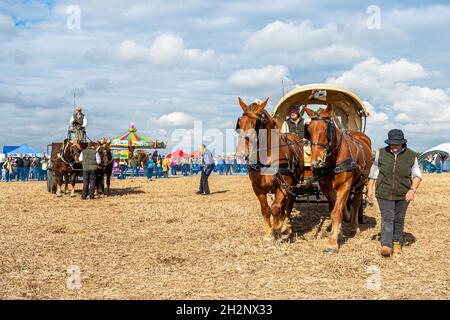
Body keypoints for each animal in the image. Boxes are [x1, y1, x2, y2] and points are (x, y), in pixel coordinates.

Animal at [236, 98, 306, 240]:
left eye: (256, 123)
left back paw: (286, 223)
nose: (240, 153)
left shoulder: (285, 184)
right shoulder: (257, 187)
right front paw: (269, 232)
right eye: (239, 123)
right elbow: (265, 209)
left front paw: (280, 227)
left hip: (293, 184)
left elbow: (275, 207)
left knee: (289, 203)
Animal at [306, 105, 372, 252]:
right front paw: (338, 232)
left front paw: (332, 242)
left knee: (356, 202)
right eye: (309, 130)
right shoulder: (326, 188)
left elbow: (337, 212)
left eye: (326, 129)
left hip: (361, 182)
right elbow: (334, 209)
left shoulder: (345, 185)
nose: (315, 162)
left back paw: (355, 226)